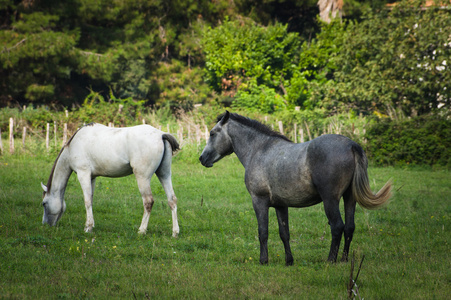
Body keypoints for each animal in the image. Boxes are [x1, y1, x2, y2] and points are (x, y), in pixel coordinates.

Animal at [41, 122, 180, 237]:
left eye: (44, 203)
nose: (45, 225)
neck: (72, 146)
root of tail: (161, 135)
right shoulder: (92, 177)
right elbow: (91, 199)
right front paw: (90, 225)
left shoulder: (83, 174)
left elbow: (87, 201)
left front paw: (88, 228)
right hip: (164, 174)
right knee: (172, 199)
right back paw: (175, 232)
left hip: (142, 177)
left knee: (148, 201)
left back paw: (142, 230)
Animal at [199, 112, 392, 264]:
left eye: (212, 133)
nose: (202, 158)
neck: (259, 150)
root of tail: (352, 145)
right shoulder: (280, 205)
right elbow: (284, 233)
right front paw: (289, 261)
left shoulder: (259, 201)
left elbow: (263, 232)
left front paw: (263, 260)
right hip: (349, 198)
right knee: (350, 227)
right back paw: (344, 259)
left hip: (330, 200)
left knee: (337, 226)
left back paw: (331, 260)